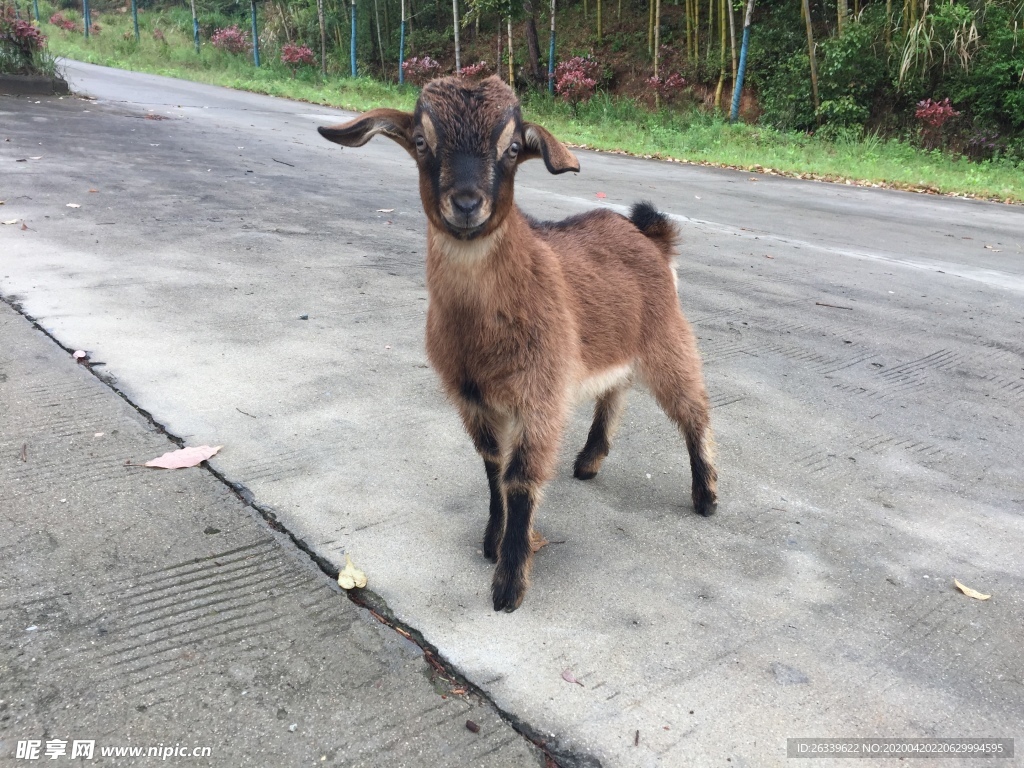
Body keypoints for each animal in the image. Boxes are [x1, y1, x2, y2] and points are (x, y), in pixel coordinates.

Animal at [315, 75, 716, 610]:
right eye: (421, 142)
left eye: (509, 148)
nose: (467, 204)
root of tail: (651, 236)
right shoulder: (473, 399)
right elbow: (492, 468)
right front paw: (492, 540)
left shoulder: (539, 395)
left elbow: (520, 477)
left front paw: (509, 583)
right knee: (615, 390)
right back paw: (589, 461)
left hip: (666, 335)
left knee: (693, 408)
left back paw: (706, 496)